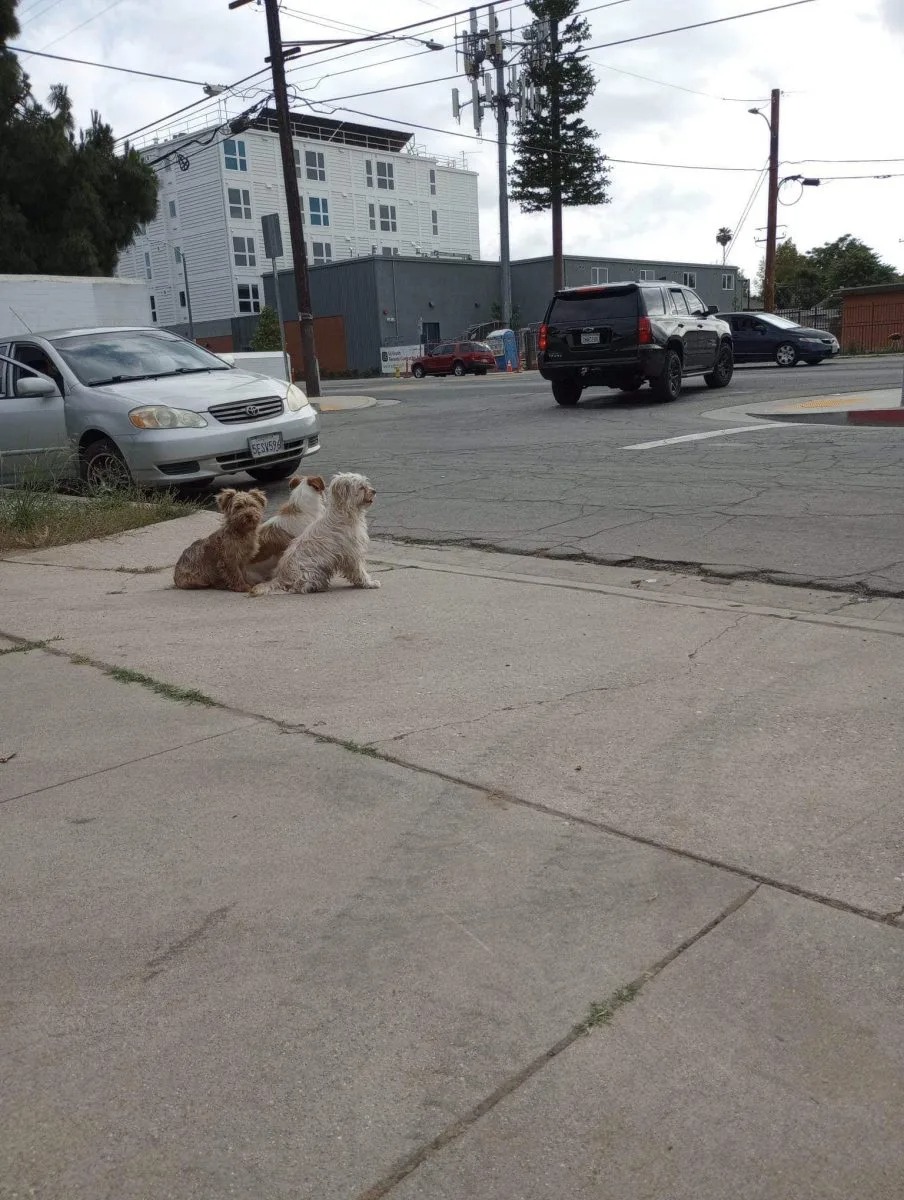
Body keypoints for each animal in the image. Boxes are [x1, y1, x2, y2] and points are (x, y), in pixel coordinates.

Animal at [248, 470, 379, 597]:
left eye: (366, 484)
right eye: (361, 487)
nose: (374, 491)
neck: (344, 514)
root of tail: (281, 577)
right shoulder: (352, 553)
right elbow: (359, 571)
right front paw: (369, 583)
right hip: (311, 570)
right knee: (298, 587)